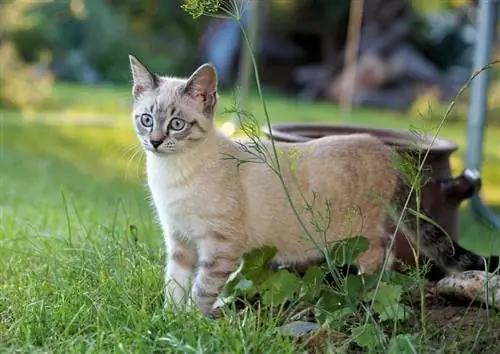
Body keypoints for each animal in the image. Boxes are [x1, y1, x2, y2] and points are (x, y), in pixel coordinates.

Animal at [127, 54, 498, 318]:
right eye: (146, 119)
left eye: (177, 125)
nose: (155, 142)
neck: (171, 173)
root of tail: (384, 148)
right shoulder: (179, 239)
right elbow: (174, 284)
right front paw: (168, 319)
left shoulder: (219, 245)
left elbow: (202, 288)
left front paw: (192, 321)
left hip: (360, 232)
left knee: (384, 256)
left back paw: (366, 296)